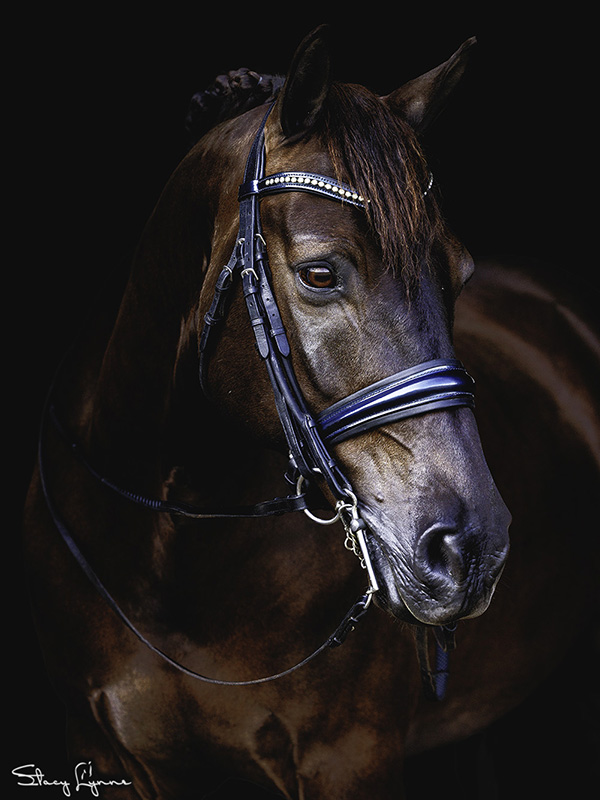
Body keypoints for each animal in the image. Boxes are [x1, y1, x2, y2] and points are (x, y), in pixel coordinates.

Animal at [23, 26, 599, 799]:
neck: (170, 555)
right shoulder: (107, 753)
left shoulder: (348, 760)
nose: (473, 547)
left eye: (459, 275)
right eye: (319, 273)